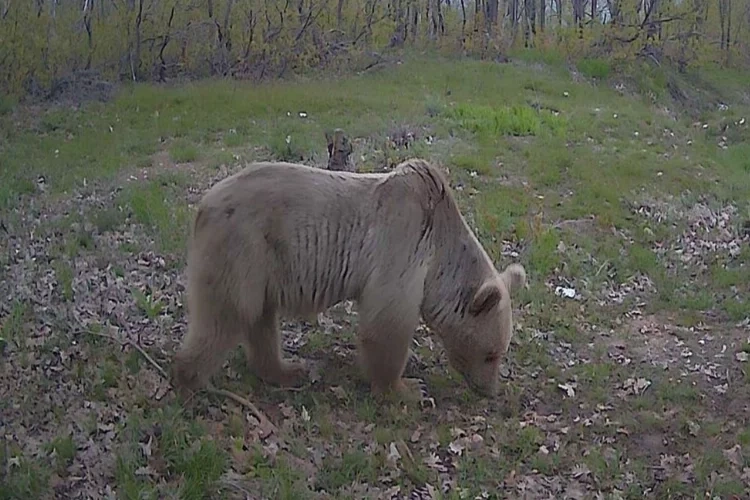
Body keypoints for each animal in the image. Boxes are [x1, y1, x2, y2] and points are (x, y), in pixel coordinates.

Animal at [173, 158, 524, 400]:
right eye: (491, 353)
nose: (490, 390)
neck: (440, 253)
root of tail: (203, 205)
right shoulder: (402, 240)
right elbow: (387, 322)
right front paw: (407, 389)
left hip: (263, 265)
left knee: (260, 319)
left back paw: (286, 370)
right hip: (243, 247)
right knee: (226, 315)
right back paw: (192, 380)